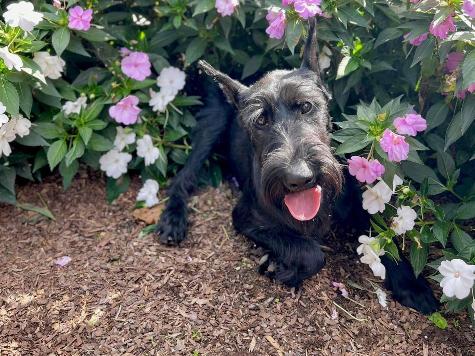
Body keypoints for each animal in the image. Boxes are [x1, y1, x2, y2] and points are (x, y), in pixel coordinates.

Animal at [159, 19, 438, 314]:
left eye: (305, 106)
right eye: (260, 121)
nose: (299, 178)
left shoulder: (358, 207)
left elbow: (386, 241)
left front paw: (413, 285)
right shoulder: (247, 218)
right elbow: (312, 253)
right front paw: (281, 266)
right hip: (210, 127)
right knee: (183, 177)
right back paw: (173, 218)